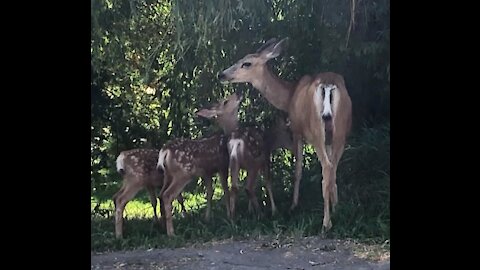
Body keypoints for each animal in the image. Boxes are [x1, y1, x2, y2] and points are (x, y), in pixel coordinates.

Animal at [218, 37, 352, 232]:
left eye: (246, 63)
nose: (222, 75)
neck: (289, 96)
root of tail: (328, 85)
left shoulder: (296, 130)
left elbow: (297, 171)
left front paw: (293, 205)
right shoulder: (329, 138)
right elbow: (333, 171)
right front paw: (335, 205)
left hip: (316, 132)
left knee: (326, 167)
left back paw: (326, 223)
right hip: (340, 131)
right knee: (332, 167)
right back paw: (335, 211)